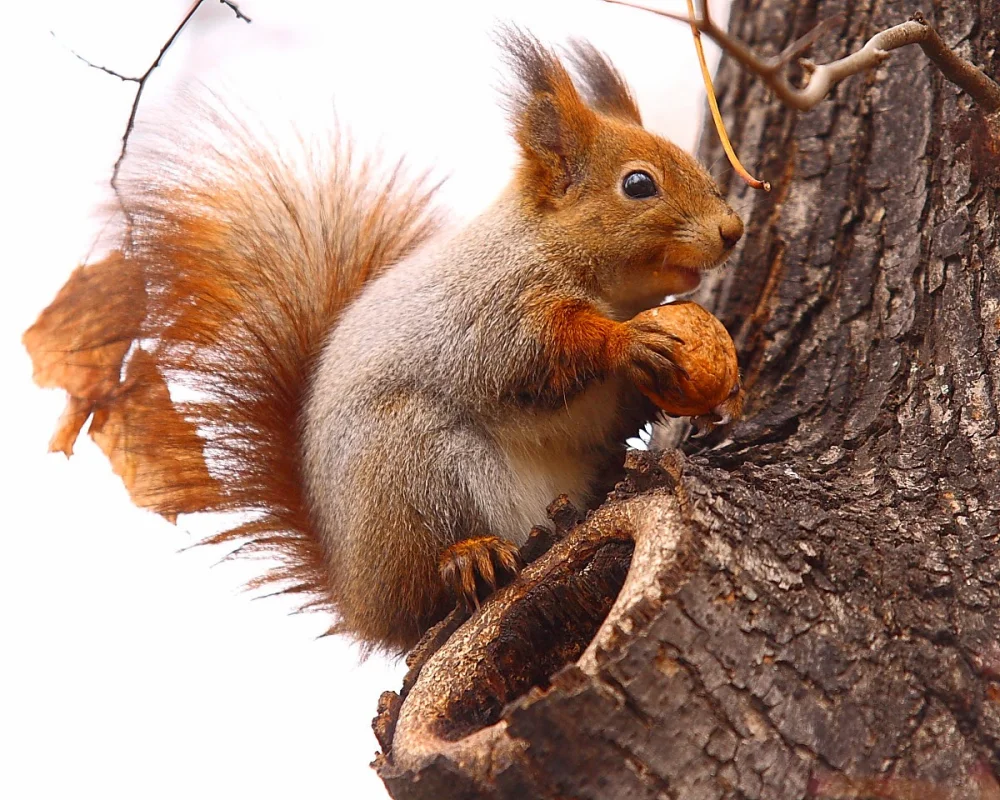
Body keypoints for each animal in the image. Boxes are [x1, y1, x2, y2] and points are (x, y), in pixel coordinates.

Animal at [26, 28, 743, 654]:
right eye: (638, 184)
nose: (733, 228)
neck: (554, 250)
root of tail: (359, 595)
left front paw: (716, 395)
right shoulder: (488, 309)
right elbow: (534, 354)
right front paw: (628, 342)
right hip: (413, 460)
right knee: (428, 587)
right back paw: (467, 557)